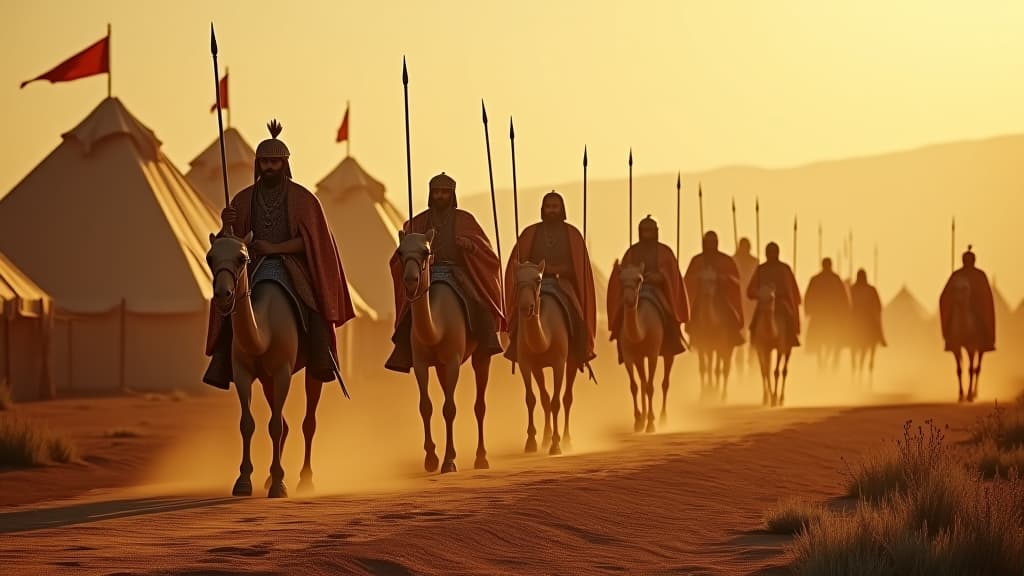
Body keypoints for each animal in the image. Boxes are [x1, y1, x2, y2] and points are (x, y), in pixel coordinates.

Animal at [204, 230, 323, 496]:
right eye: (209, 257)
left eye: (242, 258)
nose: (223, 295)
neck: (264, 331)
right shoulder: (242, 373)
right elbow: (247, 423)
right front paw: (243, 481)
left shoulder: (282, 372)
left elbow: (275, 425)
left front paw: (279, 485)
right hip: (267, 381)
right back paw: (270, 477)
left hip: (313, 369)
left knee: (308, 421)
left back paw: (306, 479)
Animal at [395, 227, 487, 471]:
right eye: (400, 252)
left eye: (426, 252)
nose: (410, 280)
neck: (438, 327)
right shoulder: (421, 364)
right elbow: (425, 406)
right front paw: (431, 459)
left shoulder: (453, 361)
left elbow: (450, 408)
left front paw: (449, 460)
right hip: (440, 368)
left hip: (481, 354)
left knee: (479, 404)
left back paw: (481, 458)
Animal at [509, 260, 577, 453]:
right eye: (516, 281)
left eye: (538, 280)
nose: (526, 307)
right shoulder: (526, 363)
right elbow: (531, 399)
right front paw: (531, 442)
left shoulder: (559, 363)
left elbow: (556, 402)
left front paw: (556, 445)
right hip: (537, 368)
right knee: (544, 398)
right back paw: (546, 439)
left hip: (572, 361)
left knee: (567, 398)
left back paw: (567, 439)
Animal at [610, 261, 667, 430]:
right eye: (621, 280)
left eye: (639, 279)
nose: (628, 300)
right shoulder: (630, 356)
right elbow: (634, 386)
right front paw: (638, 420)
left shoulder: (653, 353)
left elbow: (650, 386)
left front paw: (651, 424)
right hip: (639, 358)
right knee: (642, 381)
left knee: (664, 381)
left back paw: (662, 417)